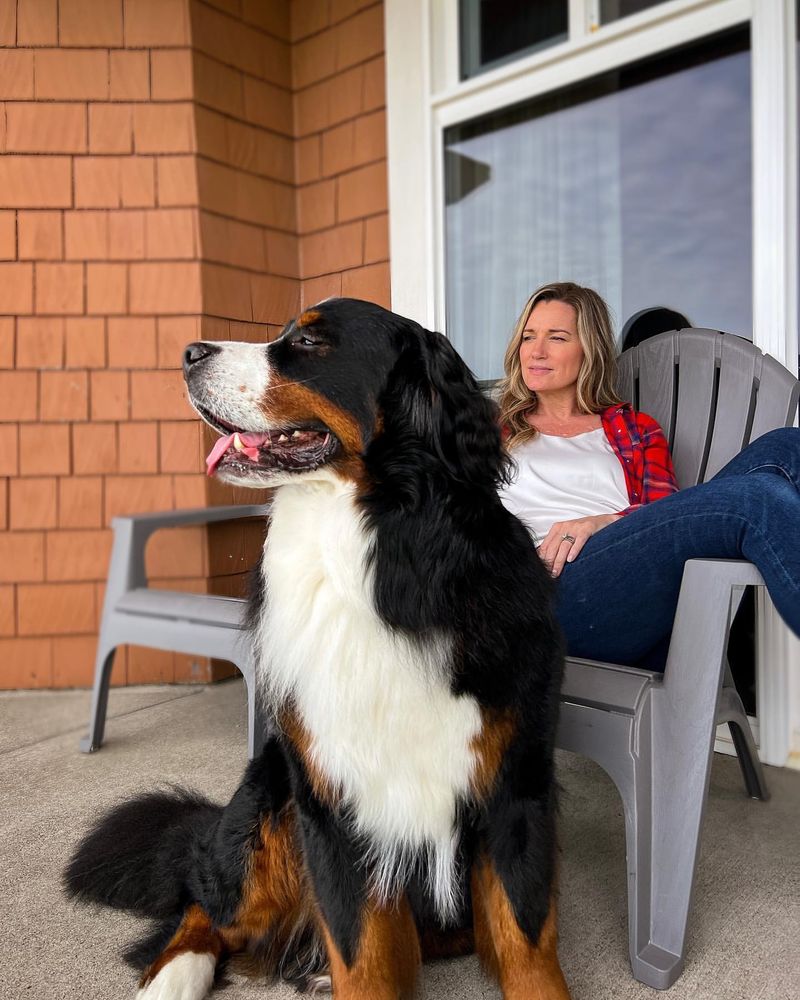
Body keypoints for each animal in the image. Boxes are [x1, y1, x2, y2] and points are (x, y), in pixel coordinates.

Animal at [67, 298, 568, 1000]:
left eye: (308, 342)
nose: (188, 353)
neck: (370, 551)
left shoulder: (515, 783)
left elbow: (527, 943)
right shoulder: (332, 795)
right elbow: (362, 954)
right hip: (271, 798)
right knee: (204, 899)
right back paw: (173, 977)